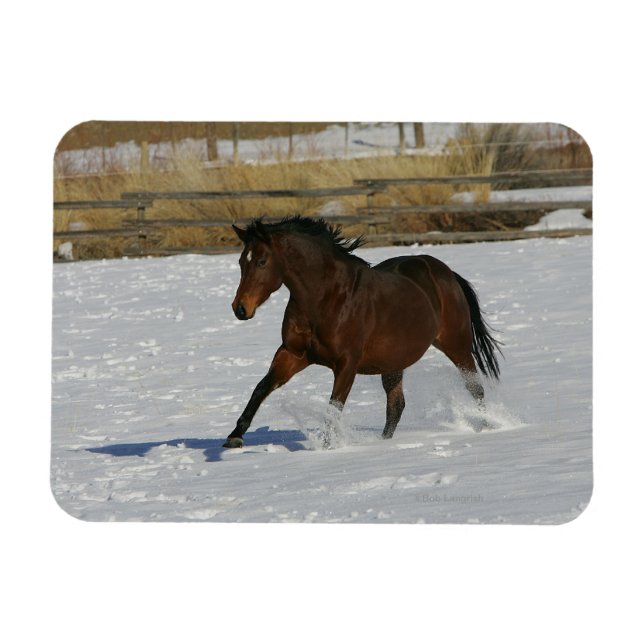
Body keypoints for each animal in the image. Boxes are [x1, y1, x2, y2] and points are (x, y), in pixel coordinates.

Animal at [223, 215, 502, 448]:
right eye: (241, 261)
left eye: (262, 261)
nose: (240, 308)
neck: (325, 298)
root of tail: (446, 273)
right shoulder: (293, 354)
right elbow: (261, 387)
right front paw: (235, 437)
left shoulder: (347, 364)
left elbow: (334, 407)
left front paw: (327, 447)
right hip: (394, 362)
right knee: (396, 406)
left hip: (456, 345)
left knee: (475, 388)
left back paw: (486, 428)